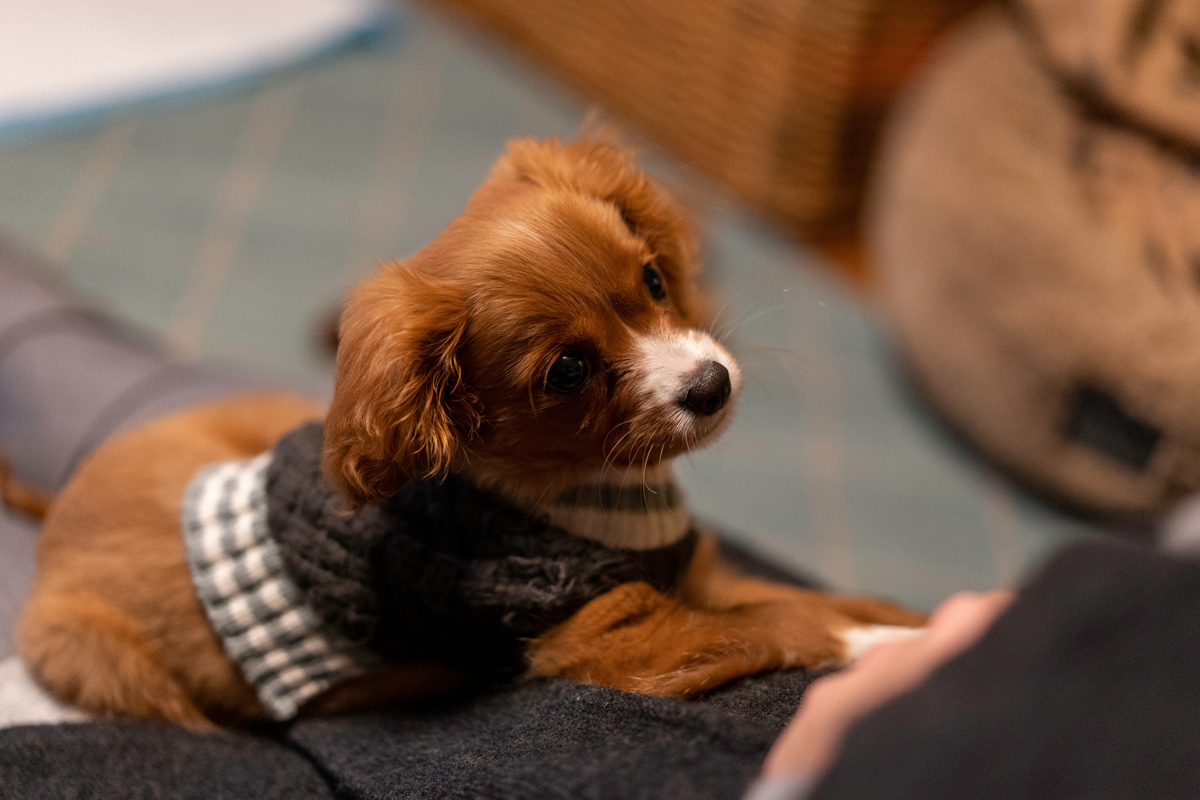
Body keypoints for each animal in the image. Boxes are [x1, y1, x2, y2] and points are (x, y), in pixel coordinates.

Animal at [16, 139, 916, 734]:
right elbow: (779, 625)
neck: (595, 496)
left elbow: (797, 596)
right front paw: (881, 644)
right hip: (91, 652)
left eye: (654, 279)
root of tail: (56, 512)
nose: (711, 386)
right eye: (567, 371)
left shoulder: (695, 574)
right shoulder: (614, 643)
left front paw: (895, 613)